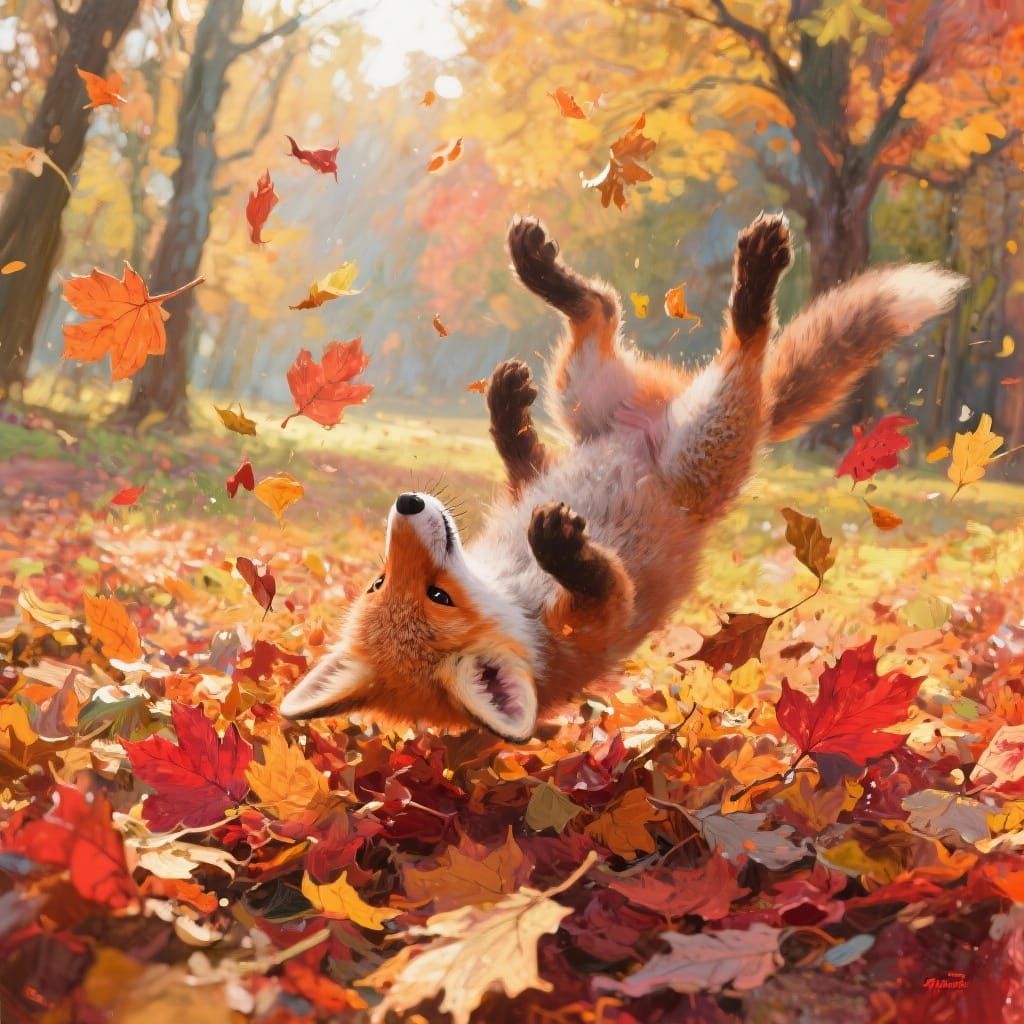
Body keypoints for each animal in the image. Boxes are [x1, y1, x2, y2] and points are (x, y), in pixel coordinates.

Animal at [280, 212, 966, 742]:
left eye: (378, 582)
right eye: (435, 597)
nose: (407, 502)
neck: (517, 599)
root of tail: (649, 433)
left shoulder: (524, 508)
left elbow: (525, 474)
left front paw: (523, 465)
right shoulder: (601, 622)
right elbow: (606, 584)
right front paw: (560, 544)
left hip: (580, 395)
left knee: (596, 314)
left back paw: (529, 310)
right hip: (708, 450)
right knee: (745, 344)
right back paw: (756, 278)